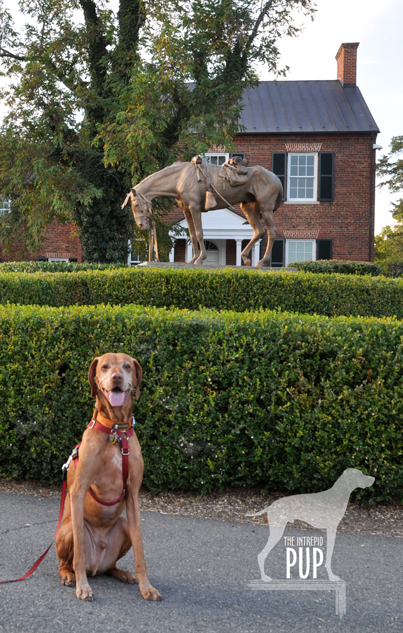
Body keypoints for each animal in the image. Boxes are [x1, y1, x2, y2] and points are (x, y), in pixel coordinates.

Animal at [55, 354, 163, 600]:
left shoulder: (133, 494)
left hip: (123, 526)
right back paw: (69, 576)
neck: (116, 429)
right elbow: (79, 554)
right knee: (66, 562)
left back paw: (123, 573)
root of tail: (96, 566)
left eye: (127, 366)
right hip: (67, 531)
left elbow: (140, 551)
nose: (117, 377)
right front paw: (83, 587)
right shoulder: (79, 490)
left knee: (111, 566)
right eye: (104, 366)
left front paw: (147, 586)